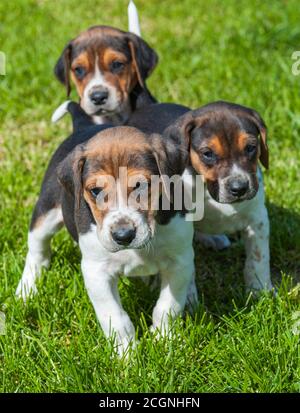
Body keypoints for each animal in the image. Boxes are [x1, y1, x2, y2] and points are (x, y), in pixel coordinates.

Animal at [17, 102, 195, 354]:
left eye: (141, 186)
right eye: (96, 191)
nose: (123, 235)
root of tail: (82, 126)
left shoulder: (179, 262)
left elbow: (167, 307)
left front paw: (165, 340)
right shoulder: (97, 272)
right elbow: (116, 318)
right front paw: (127, 355)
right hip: (45, 212)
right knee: (37, 252)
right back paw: (26, 290)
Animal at [129, 100, 274, 292]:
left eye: (251, 148)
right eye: (208, 154)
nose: (239, 188)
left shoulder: (257, 218)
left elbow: (258, 258)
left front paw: (260, 289)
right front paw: (189, 296)